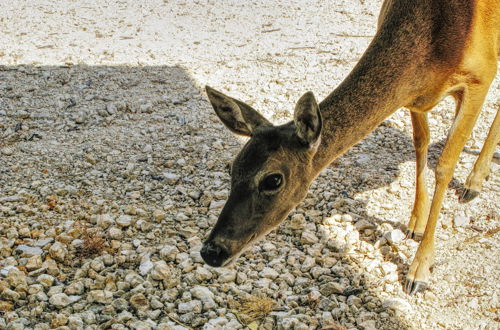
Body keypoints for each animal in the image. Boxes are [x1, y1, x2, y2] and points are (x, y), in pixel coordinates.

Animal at [200, 0, 500, 296]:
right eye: (232, 168)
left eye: (273, 179)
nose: (211, 251)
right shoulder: (415, 99)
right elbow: (420, 144)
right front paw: (415, 222)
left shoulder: (479, 77)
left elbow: (445, 167)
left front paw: (419, 272)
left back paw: (474, 182)